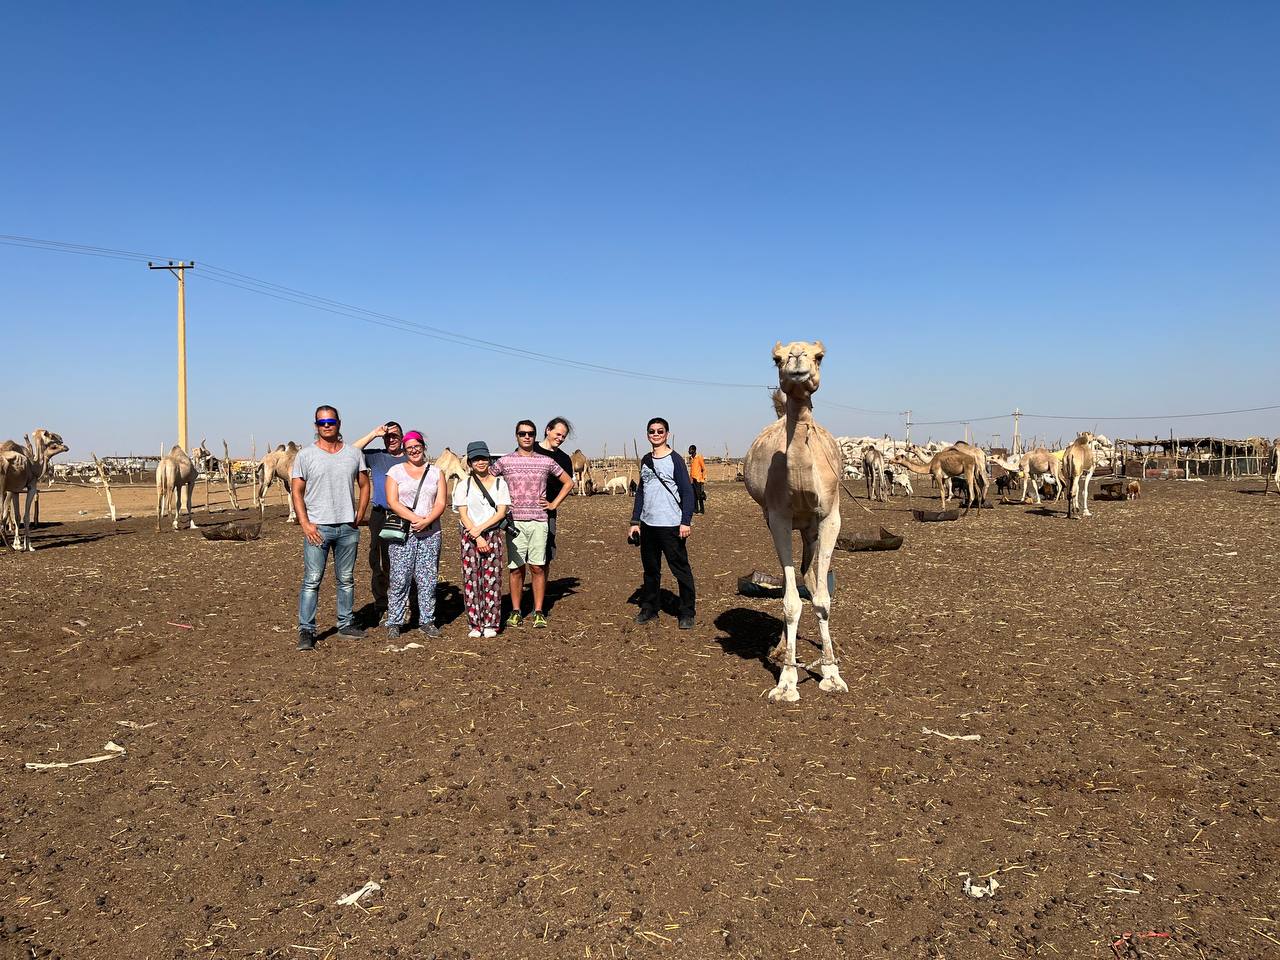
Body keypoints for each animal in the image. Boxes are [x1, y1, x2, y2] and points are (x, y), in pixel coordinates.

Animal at [747, 343, 844, 701]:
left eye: (820, 356)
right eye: (776, 358)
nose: (797, 357)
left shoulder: (830, 518)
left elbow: (823, 599)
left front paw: (832, 673)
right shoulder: (778, 518)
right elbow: (790, 602)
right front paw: (787, 681)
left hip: (811, 530)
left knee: (811, 579)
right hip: (784, 524)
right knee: (796, 582)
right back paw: (780, 650)